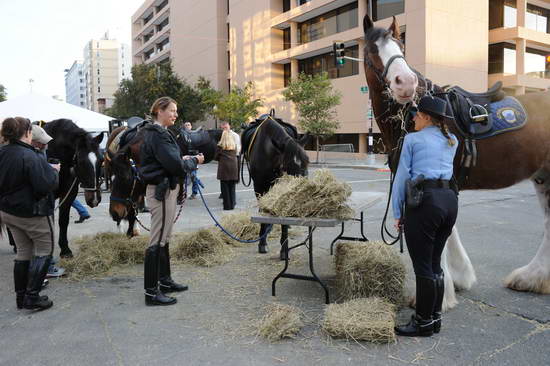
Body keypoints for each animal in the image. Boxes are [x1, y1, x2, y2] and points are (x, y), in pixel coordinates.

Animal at [43, 119, 104, 258]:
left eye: (101, 160)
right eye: (80, 162)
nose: (94, 199)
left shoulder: (68, 194)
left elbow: (63, 220)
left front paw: (65, 250)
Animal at [243, 114, 310, 254]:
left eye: (307, 161)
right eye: (287, 165)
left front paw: (284, 247)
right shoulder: (259, 186)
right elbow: (263, 210)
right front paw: (262, 242)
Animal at [362, 12, 550, 308]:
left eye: (401, 47)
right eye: (372, 49)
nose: (406, 82)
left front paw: (440, 292)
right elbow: (449, 229)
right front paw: (460, 277)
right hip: (543, 177)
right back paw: (532, 278)